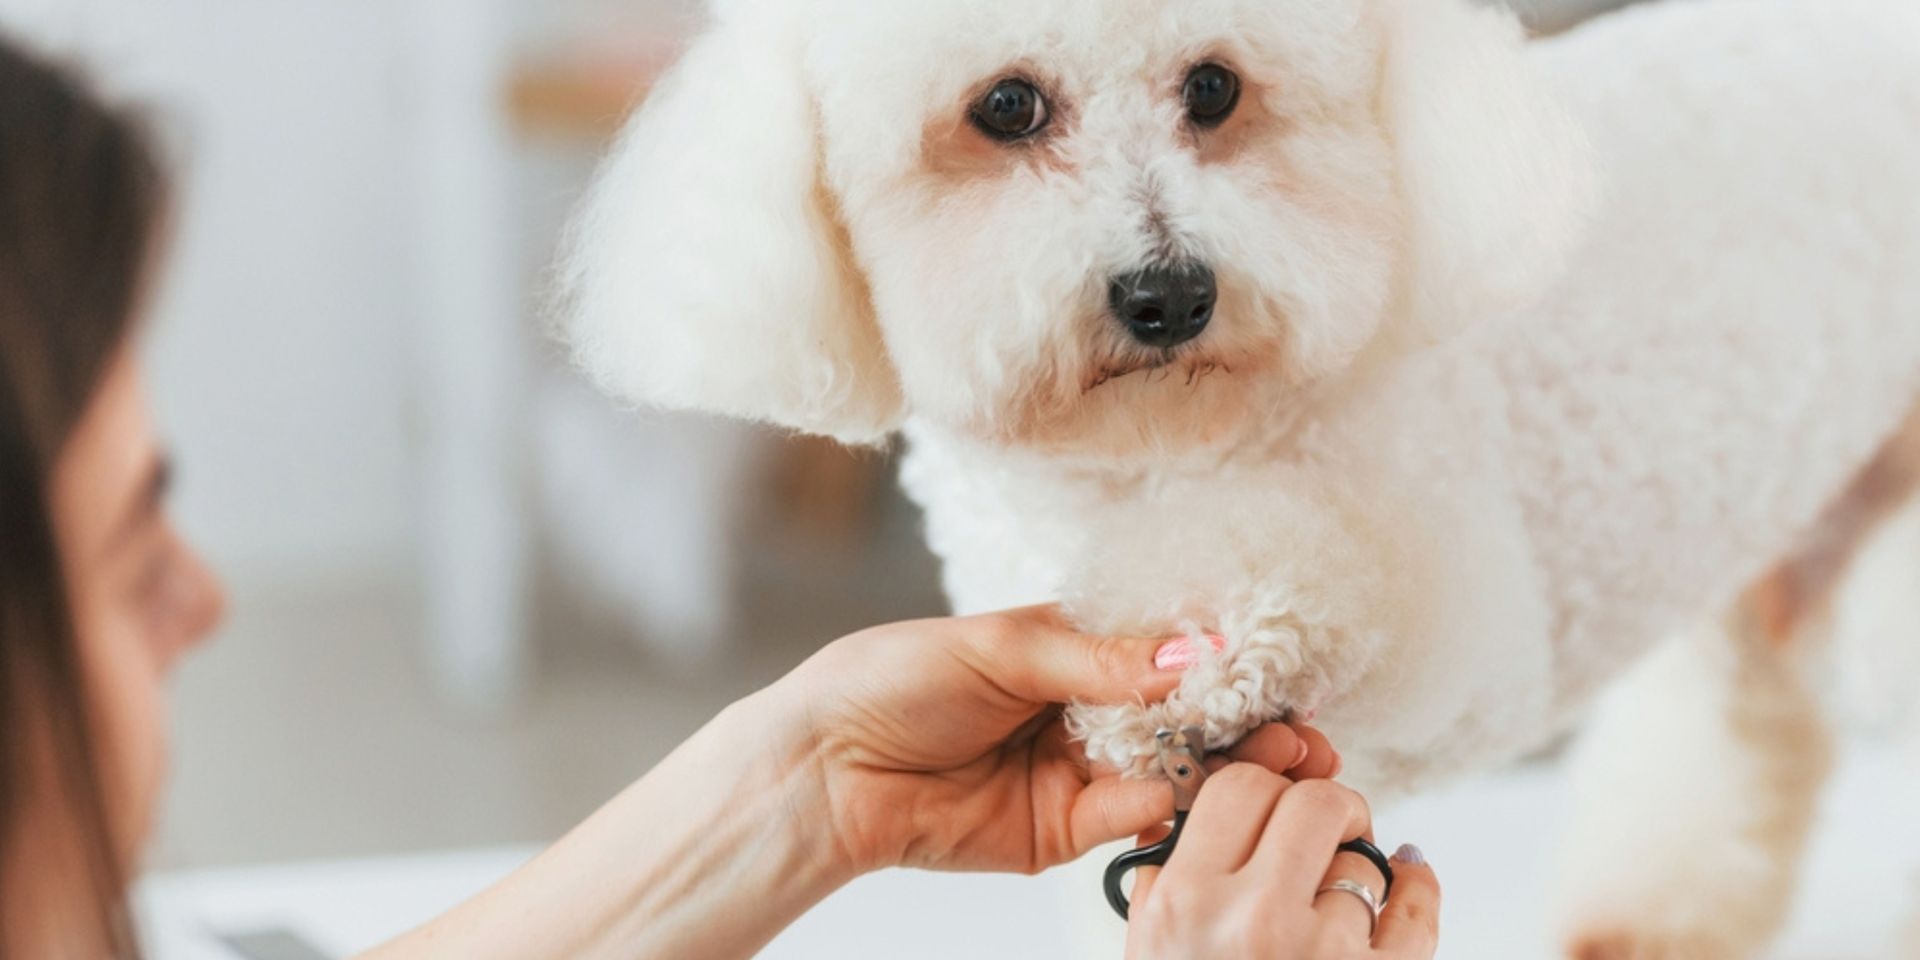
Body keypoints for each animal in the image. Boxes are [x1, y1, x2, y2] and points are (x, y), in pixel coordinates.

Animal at [564, 0, 1920, 952]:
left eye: (1213, 86)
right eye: (1007, 106)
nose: (1168, 294)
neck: (1146, 464)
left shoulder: (1467, 632)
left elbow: (1298, 555)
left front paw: (1203, 661)